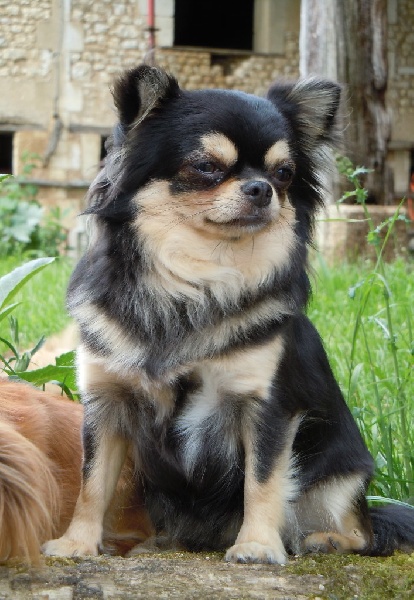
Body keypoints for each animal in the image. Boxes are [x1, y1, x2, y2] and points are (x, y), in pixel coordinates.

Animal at [42, 65, 414, 564]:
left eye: (284, 173)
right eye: (206, 167)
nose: (262, 187)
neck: (195, 283)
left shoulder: (266, 408)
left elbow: (263, 481)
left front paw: (256, 546)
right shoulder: (107, 403)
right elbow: (92, 482)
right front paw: (77, 543)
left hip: (341, 477)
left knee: (364, 532)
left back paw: (325, 539)